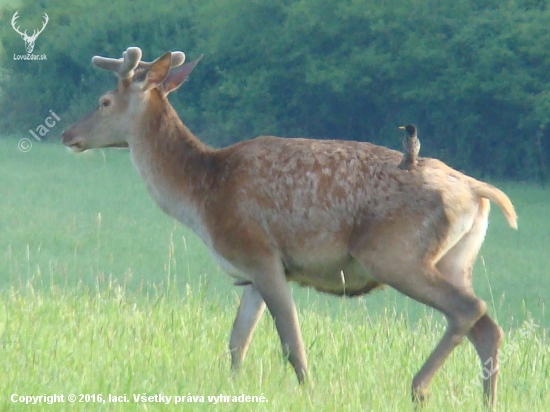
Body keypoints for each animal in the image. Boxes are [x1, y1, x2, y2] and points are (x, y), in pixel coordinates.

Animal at [62, 47, 520, 408]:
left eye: (104, 101)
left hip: (395, 253)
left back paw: (419, 387)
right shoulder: (248, 273)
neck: (201, 197)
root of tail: (476, 191)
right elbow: (237, 342)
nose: (68, 134)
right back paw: (488, 401)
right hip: (455, 260)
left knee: (469, 310)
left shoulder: (261, 253)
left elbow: (291, 342)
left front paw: (309, 390)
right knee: (488, 327)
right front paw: (233, 389)